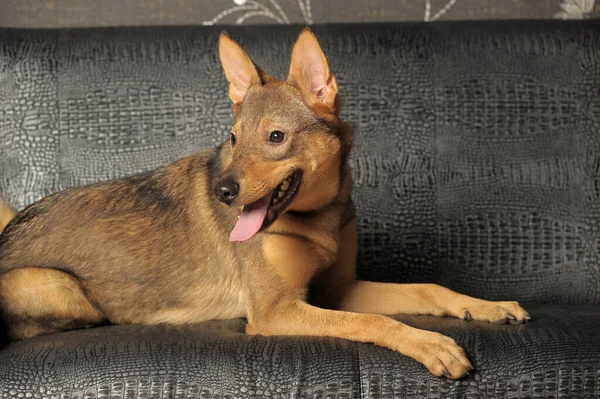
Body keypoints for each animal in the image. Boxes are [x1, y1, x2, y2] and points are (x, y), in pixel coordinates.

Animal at [0, 29, 528, 380]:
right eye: (233, 138)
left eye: (275, 137)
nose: (222, 191)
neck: (317, 219)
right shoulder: (277, 311)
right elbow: (371, 320)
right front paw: (430, 344)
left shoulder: (339, 288)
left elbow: (426, 288)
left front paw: (486, 306)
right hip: (61, 287)